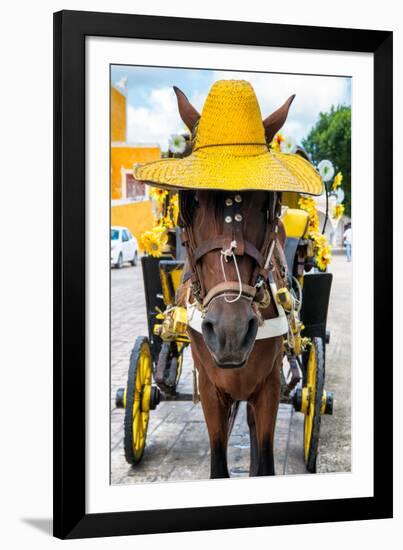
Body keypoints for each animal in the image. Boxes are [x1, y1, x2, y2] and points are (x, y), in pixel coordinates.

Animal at [174, 86, 294, 478]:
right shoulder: (211, 390)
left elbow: (266, 462)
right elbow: (218, 464)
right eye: (190, 200)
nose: (230, 331)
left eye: (267, 202)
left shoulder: (269, 386)